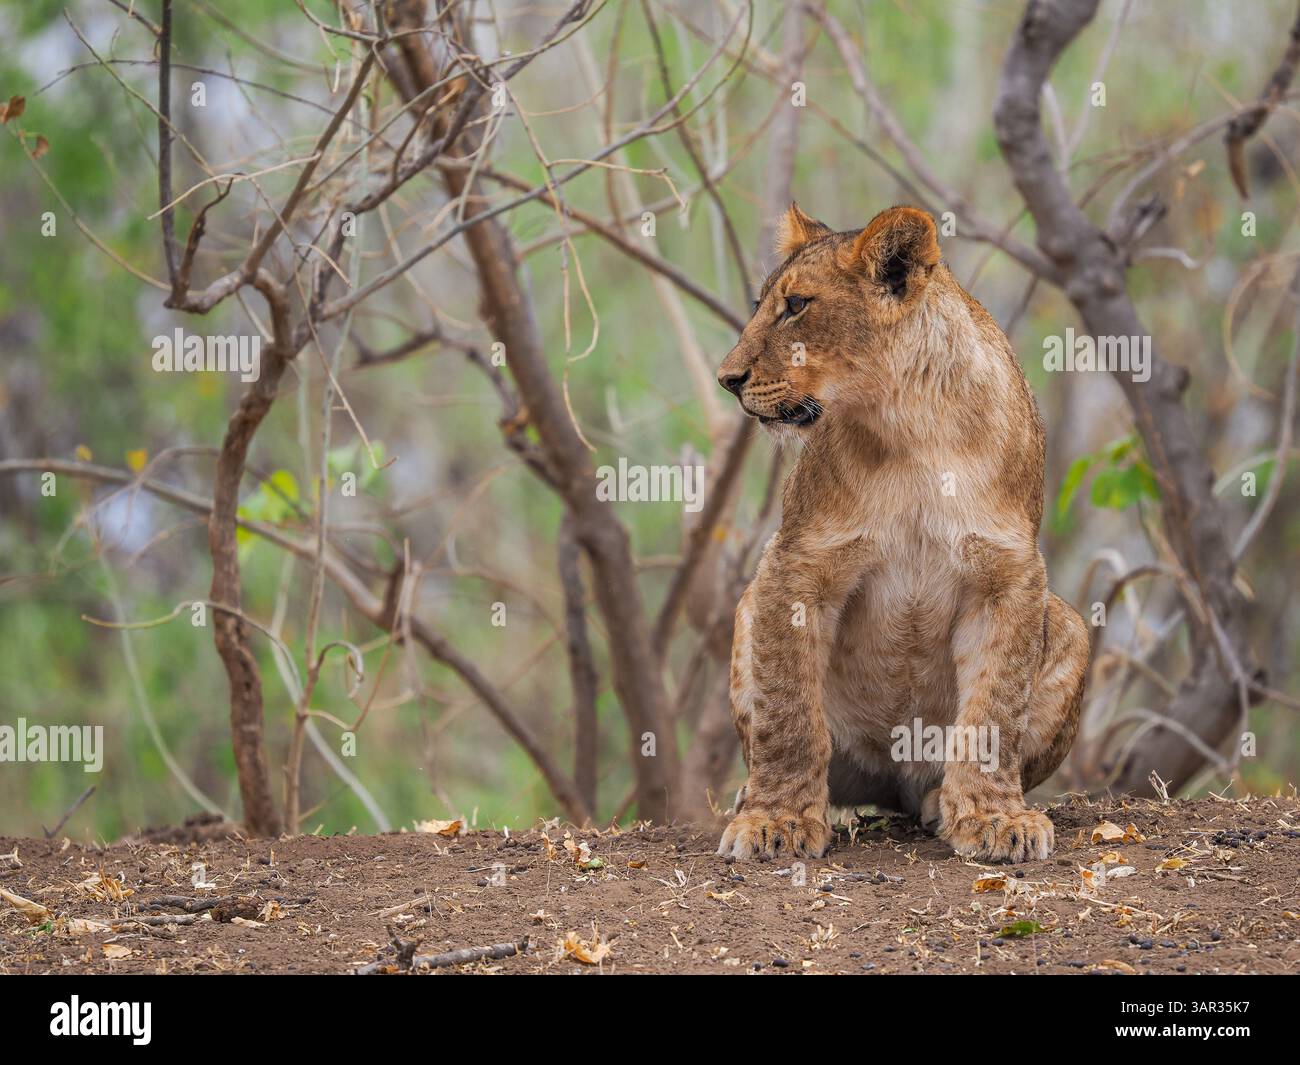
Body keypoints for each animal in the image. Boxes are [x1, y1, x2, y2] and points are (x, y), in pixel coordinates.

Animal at [714, 203, 1089, 864]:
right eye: (765, 303)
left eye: (796, 305)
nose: (727, 378)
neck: (911, 424)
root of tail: (892, 783)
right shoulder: (796, 563)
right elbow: (788, 712)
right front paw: (774, 819)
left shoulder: (1009, 570)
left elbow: (995, 707)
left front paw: (995, 817)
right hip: (749, 607)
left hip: (1069, 624)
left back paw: (943, 802)